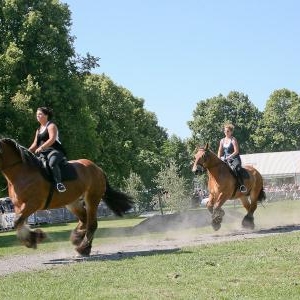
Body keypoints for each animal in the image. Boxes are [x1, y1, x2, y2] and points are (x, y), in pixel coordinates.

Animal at [0, 138, 134, 255]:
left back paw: (83, 249)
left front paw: (33, 239)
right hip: (72, 202)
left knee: (92, 224)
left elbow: (17, 222)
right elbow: (18, 223)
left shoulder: (33, 203)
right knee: (84, 219)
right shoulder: (19, 206)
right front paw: (33, 238)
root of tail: (98, 169)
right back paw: (78, 238)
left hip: (92, 198)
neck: (22, 173)